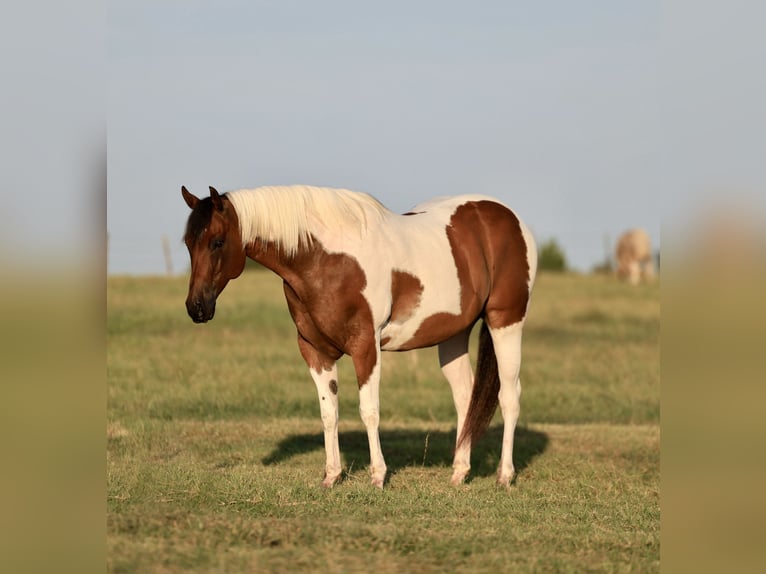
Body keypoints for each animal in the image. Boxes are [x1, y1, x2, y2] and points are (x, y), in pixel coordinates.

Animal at [182, 184, 537, 488]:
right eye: (187, 243)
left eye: (217, 241)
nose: (196, 308)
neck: (323, 259)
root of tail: (509, 218)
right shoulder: (315, 351)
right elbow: (329, 413)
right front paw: (331, 476)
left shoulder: (366, 346)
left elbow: (369, 410)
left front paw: (378, 476)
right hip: (453, 333)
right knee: (466, 397)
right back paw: (459, 472)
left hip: (506, 321)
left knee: (509, 396)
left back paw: (504, 476)